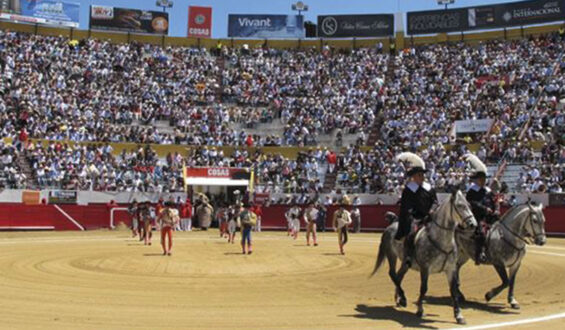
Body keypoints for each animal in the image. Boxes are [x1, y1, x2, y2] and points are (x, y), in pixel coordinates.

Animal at [370, 191, 476, 324]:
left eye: (469, 205)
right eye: (460, 206)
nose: (473, 224)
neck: (441, 240)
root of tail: (392, 224)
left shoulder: (451, 269)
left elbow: (453, 291)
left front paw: (459, 316)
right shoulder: (425, 268)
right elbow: (423, 288)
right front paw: (420, 310)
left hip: (405, 263)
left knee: (399, 276)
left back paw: (399, 299)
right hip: (391, 255)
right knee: (392, 274)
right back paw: (403, 299)